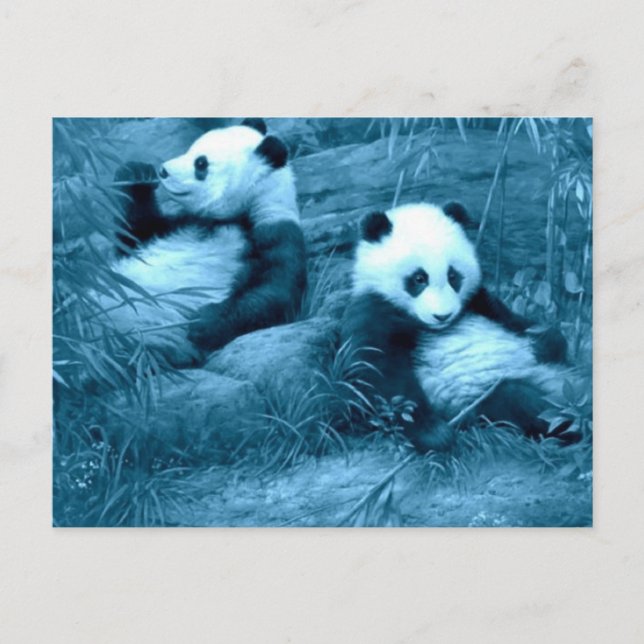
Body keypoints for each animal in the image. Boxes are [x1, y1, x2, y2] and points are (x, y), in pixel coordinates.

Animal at [91, 118, 306, 367]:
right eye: (190, 149)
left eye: (201, 163)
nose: (163, 170)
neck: (229, 218)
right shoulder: (176, 226)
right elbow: (133, 235)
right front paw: (138, 173)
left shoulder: (275, 234)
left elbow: (273, 294)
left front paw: (202, 322)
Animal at [341, 202, 575, 453]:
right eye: (419, 278)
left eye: (453, 276)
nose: (442, 315)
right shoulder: (373, 311)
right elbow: (380, 371)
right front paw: (435, 435)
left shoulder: (479, 302)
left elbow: (513, 320)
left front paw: (546, 342)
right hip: (478, 398)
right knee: (521, 401)